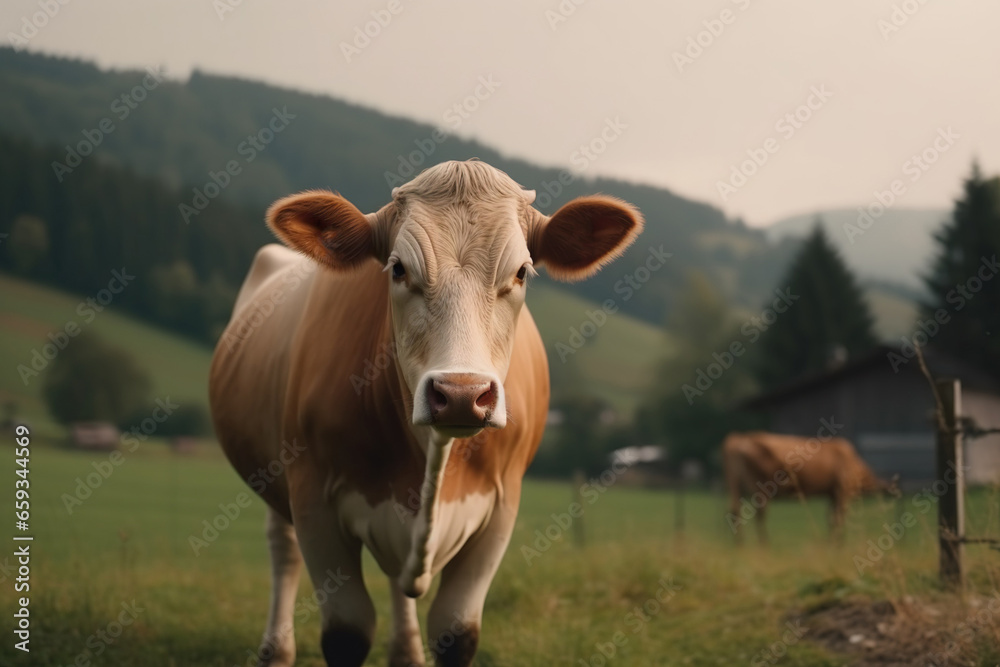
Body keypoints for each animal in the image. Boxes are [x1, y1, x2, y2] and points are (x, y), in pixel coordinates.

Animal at [208, 159, 644, 664]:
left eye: (521, 272)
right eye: (397, 268)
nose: (461, 393)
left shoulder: (502, 507)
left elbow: (456, 631)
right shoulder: (313, 496)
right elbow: (346, 632)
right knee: (284, 549)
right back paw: (276, 650)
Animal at [720, 430, 892, 544]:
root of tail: (741, 437)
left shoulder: (832, 494)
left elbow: (831, 518)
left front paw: (832, 542)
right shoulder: (842, 491)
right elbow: (839, 518)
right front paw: (839, 544)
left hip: (735, 484)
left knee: (734, 510)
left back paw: (739, 544)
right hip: (762, 488)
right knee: (760, 515)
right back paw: (764, 544)